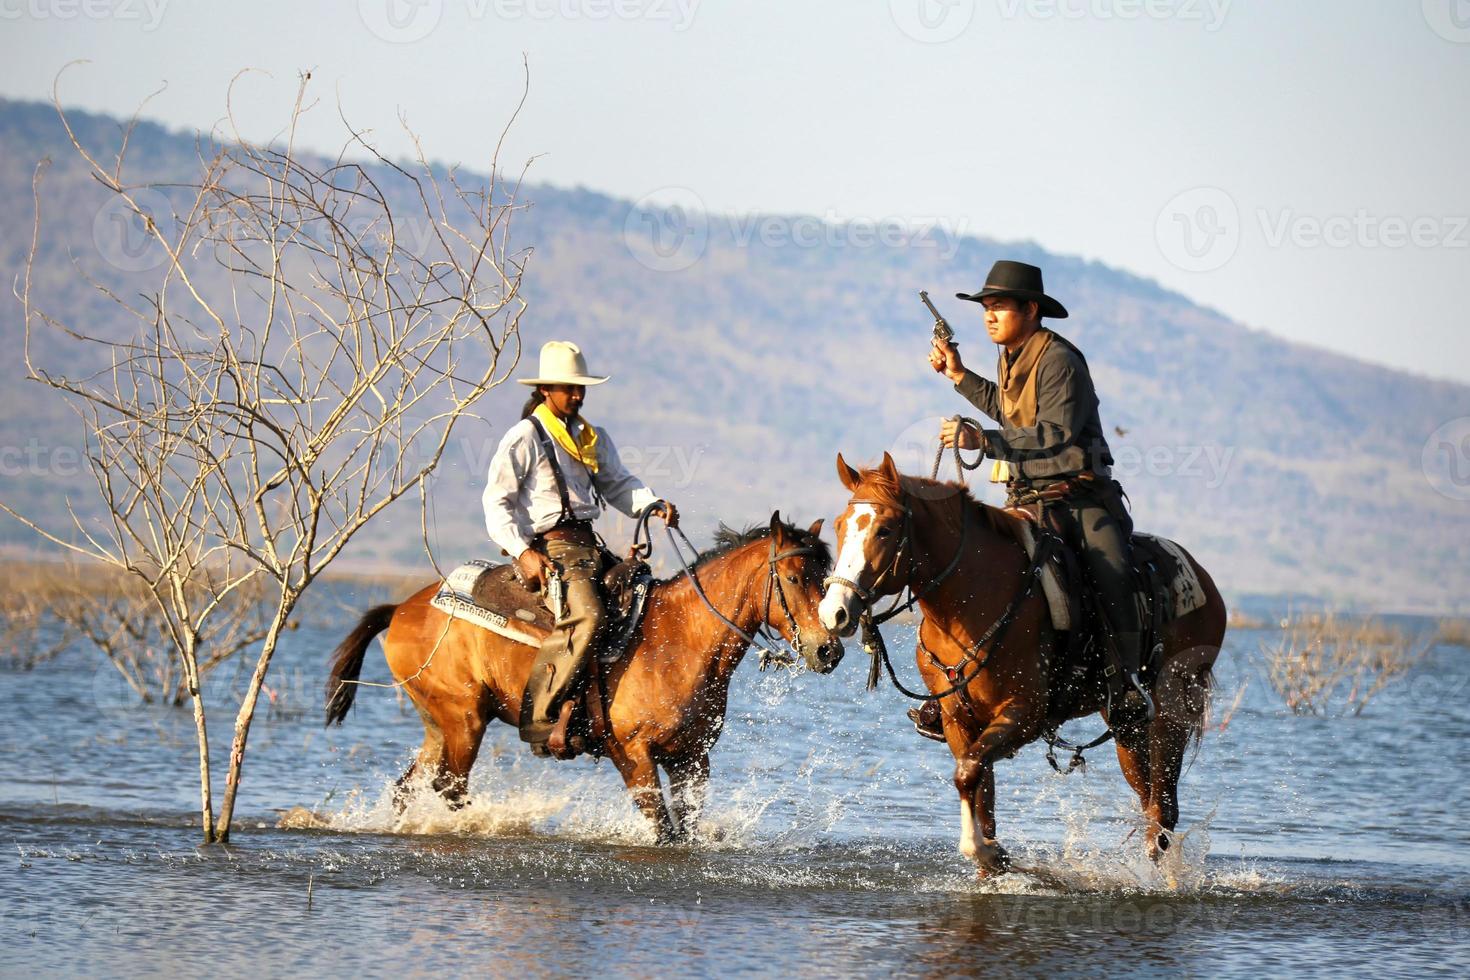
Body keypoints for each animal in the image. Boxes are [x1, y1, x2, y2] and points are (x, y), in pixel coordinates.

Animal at [327, 514, 846, 846]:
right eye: (795, 577)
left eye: (826, 575)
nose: (829, 649)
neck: (680, 639)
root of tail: (402, 609)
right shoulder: (633, 755)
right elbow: (664, 830)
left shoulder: (692, 758)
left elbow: (688, 830)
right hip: (464, 721)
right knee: (450, 788)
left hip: (439, 725)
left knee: (408, 788)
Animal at [817, 455, 1228, 875]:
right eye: (839, 525)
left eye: (884, 529)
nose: (834, 612)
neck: (973, 602)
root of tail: (1203, 578)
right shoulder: (957, 719)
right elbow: (978, 787)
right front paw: (990, 860)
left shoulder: (1024, 714)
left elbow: (968, 773)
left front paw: (982, 850)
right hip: (1125, 725)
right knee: (1150, 801)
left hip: (1172, 714)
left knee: (1164, 809)